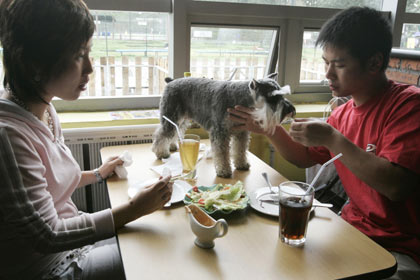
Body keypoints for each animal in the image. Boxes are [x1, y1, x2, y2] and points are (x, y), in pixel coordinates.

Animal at [152, 72, 296, 177]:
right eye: (272, 97)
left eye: (282, 95)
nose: (290, 110)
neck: (240, 98)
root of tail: (171, 81)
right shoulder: (220, 132)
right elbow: (222, 153)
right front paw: (224, 171)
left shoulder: (241, 131)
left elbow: (240, 149)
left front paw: (242, 164)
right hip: (171, 116)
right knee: (162, 133)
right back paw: (161, 152)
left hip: (181, 119)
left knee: (177, 131)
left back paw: (172, 146)